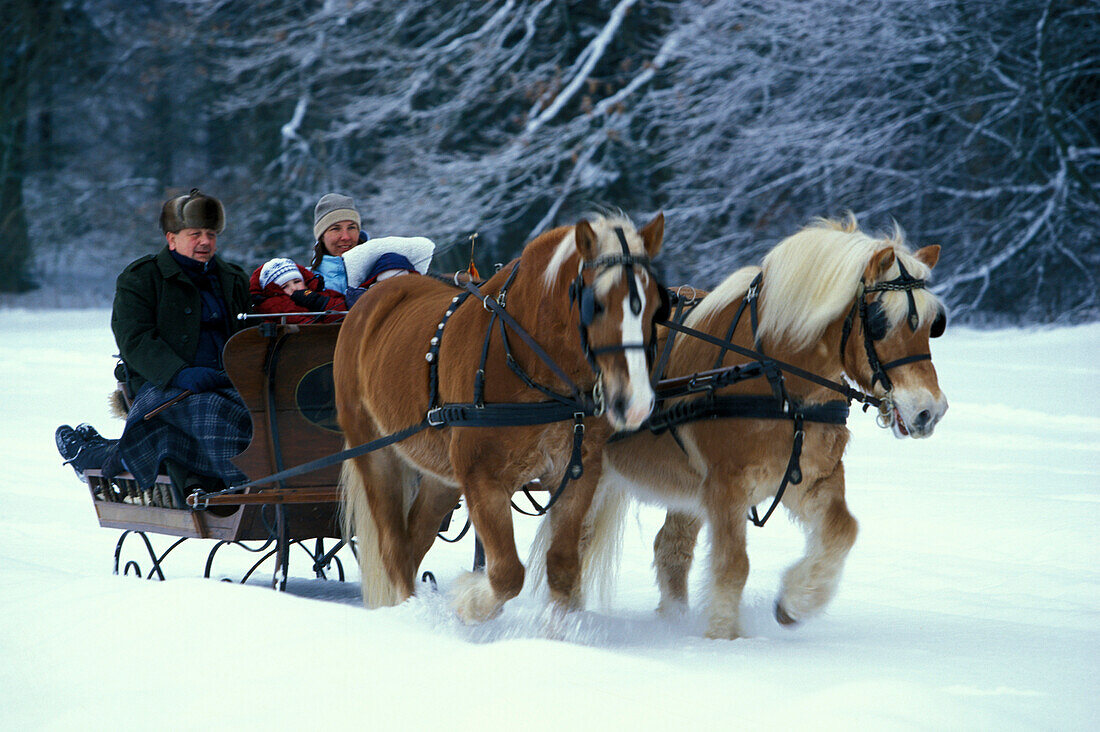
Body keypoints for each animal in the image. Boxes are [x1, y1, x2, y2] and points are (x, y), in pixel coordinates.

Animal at [332, 212, 660, 620]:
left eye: (657, 305)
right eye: (595, 304)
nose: (636, 402)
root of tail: (372, 300)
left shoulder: (577, 473)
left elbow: (563, 567)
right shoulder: (482, 478)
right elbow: (507, 574)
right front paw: (470, 602)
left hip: (441, 473)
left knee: (414, 539)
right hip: (376, 453)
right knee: (394, 548)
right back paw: (413, 612)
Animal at [545, 214, 950, 638]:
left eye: (933, 325)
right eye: (880, 321)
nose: (930, 410)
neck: (776, 377)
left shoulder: (809, 477)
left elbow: (843, 530)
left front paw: (795, 603)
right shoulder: (726, 487)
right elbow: (733, 566)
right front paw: (725, 637)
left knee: (670, 548)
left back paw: (671, 620)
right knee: (580, 540)